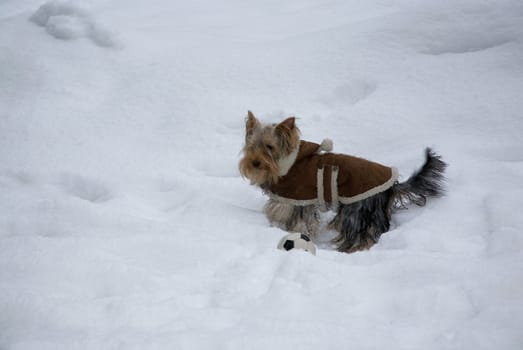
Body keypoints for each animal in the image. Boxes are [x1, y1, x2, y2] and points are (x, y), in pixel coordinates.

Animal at [239, 110, 448, 253]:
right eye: (251, 147)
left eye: (269, 147)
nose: (255, 162)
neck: (285, 164)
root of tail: (390, 186)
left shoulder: (294, 200)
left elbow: (291, 219)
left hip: (357, 210)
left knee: (361, 235)